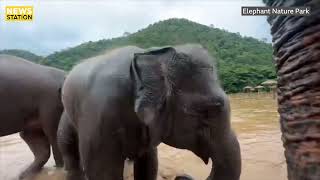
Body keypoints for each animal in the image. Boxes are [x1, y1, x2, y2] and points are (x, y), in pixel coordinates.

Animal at [58, 44, 241, 180]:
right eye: (208, 110)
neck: (150, 54)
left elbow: (149, 164)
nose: (180, 176)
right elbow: (103, 173)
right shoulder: (100, 116)